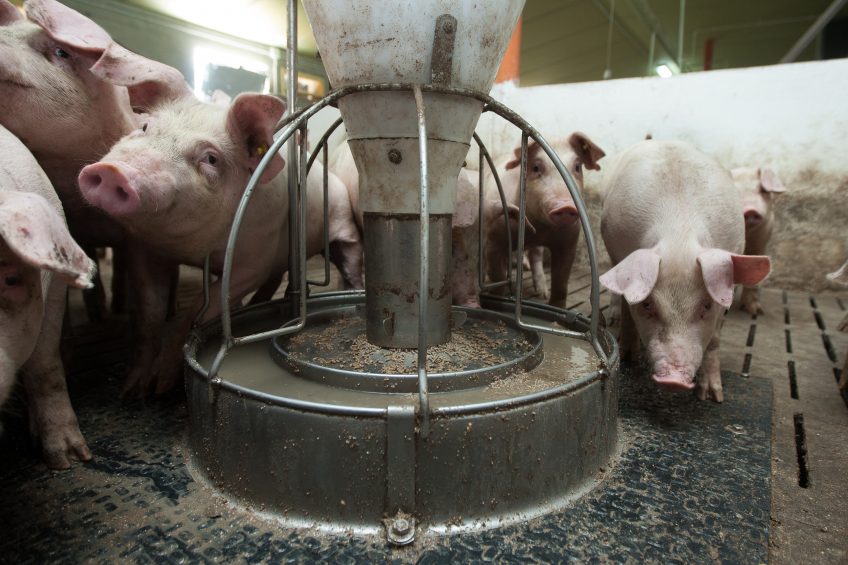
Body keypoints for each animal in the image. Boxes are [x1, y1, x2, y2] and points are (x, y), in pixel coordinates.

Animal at [75, 46, 362, 394]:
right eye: (144, 128)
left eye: (210, 158)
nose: (112, 173)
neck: (192, 247)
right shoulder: (144, 248)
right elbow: (149, 314)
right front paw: (134, 390)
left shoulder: (252, 261)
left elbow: (198, 311)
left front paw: (163, 385)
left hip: (341, 229)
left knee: (347, 264)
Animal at [484, 134, 604, 306]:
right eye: (535, 168)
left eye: (577, 167)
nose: (566, 206)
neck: (540, 229)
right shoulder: (494, 240)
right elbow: (497, 279)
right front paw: (495, 301)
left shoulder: (568, 242)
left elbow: (561, 284)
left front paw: (555, 307)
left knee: (536, 257)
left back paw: (541, 293)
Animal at [600, 143, 772, 404]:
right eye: (648, 305)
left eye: (707, 306)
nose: (674, 380)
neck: (679, 235)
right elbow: (629, 309)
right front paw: (628, 356)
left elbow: (714, 340)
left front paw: (712, 397)